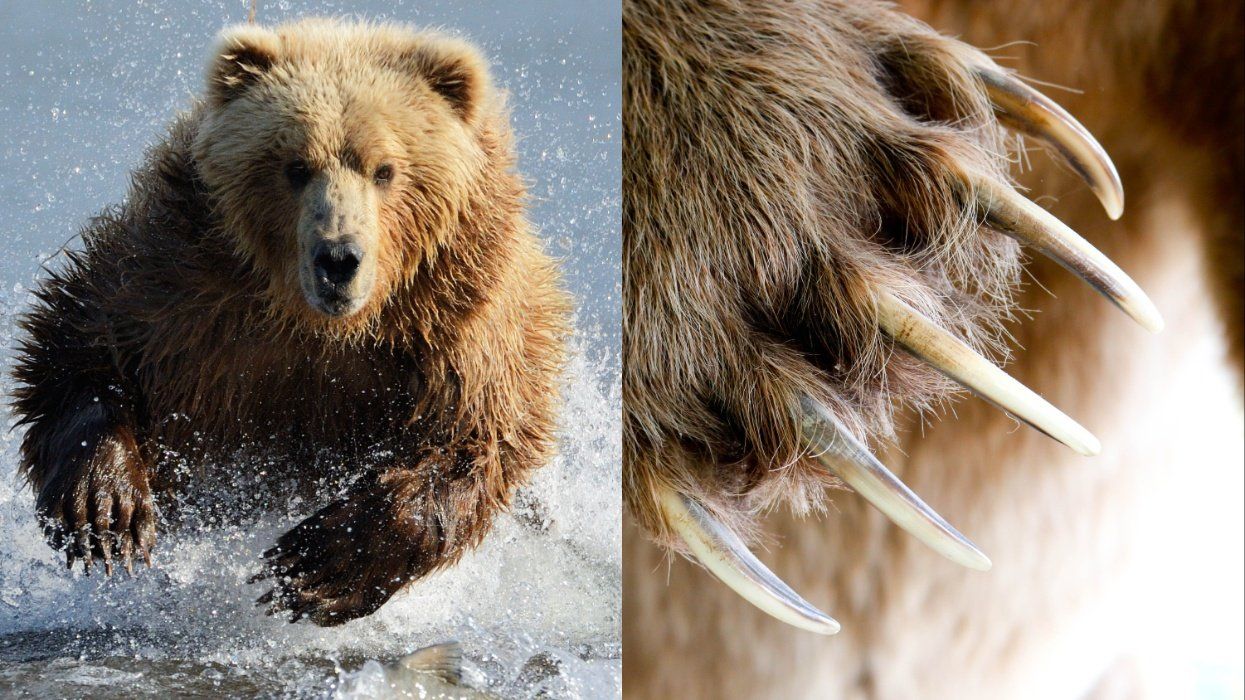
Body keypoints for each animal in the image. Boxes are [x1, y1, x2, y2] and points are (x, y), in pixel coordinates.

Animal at [12, 18, 568, 627]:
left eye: (385, 169)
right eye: (295, 166)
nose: (338, 258)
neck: (318, 324)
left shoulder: (457, 318)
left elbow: (473, 439)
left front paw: (313, 567)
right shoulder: (184, 280)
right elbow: (81, 339)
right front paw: (106, 510)